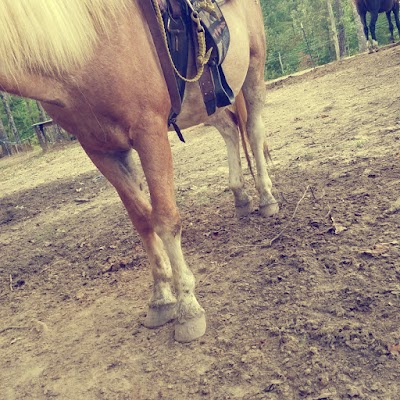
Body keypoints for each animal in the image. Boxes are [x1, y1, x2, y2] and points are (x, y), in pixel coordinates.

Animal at [0, 0, 278, 344]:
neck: (88, 49)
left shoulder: (150, 133)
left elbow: (165, 219)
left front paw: (188, 308)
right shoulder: (101, 150)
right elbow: (142, 220)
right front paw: (161, 300)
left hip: (254, 68)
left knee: (252, 129)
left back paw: (266, 198)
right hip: (208, 100)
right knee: (228, 128)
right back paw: (241, 198)